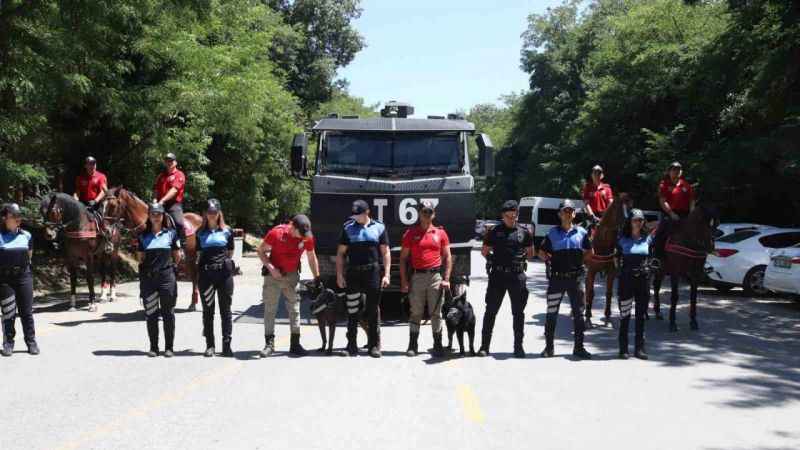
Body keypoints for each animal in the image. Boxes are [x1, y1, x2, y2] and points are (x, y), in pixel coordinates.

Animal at [580, 192, 632, 328]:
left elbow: (608, 293)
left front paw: (608, 318)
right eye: (618, 207)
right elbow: (590, 292)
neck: (602, 242)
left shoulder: (611, 272)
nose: (626, 227)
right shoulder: (591, 271)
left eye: (630, 207)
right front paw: (588, 318)